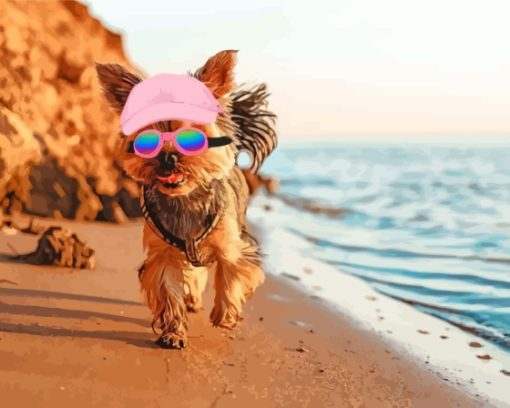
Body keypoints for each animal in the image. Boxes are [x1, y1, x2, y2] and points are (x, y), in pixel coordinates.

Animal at [97, 51, 276, 350]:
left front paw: (224, 315)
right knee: (193, 274)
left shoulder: (231, 244)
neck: (184, 200)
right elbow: (168, 289)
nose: (167, 157)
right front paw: (173, 332)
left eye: (191, 136)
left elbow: (231, 273)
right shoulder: (163, 254)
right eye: (147, 138)